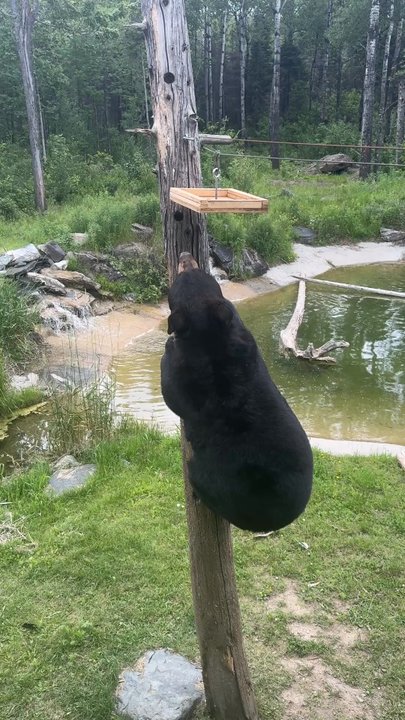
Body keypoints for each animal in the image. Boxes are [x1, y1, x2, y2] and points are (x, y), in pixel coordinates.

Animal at [161, 252, 313, 532]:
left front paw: (167, 345)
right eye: (195, 268)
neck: (209, 334)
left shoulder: (184, 374)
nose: (185, 255)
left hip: (208, 477)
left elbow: (172, 392)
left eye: (178, 280)